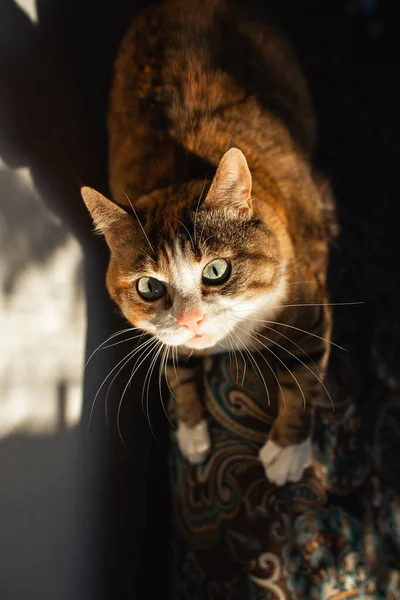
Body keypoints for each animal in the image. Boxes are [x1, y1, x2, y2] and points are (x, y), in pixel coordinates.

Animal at [81, 0, 334, 488]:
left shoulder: (309, 300)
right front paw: (192, 432)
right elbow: (176, 370)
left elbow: (304, 378)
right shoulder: (163, 336)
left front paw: (287, 452)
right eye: (149, 287)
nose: (191, 320)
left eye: (217, 270)